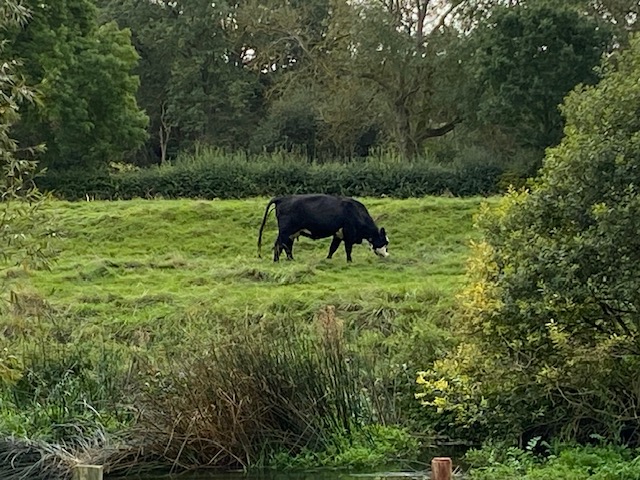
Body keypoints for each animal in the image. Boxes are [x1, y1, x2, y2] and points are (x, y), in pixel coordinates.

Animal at [256, 194, 388, 262]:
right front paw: (349, 261)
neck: (356, 212)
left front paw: (328, 259)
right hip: (285, 231)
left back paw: (291, 259)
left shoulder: (338, 234)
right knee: (278, 244)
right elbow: (348, 249)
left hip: (292, 233)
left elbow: (333, 248)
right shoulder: (349, 233)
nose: (387, 255)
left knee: (287, 246)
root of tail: (282, 198)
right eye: (385, 242)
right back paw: (276, 260)